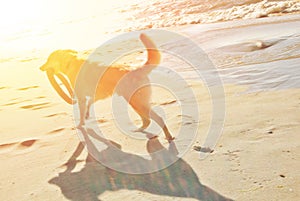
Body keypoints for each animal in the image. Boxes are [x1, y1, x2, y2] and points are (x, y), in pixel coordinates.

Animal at [41, 33, 175, 141]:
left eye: (48, 60)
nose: (40, 67)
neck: (69, 63)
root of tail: (136, 69)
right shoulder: (95, 95)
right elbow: (89, 104)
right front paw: (87, 115)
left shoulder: (81, 97)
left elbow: (82, 113)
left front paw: (80, 124)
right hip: (135, 102)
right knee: (147, 120)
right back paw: (139, 130)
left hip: (137, 102)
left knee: (157, 118)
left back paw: (169, 137)